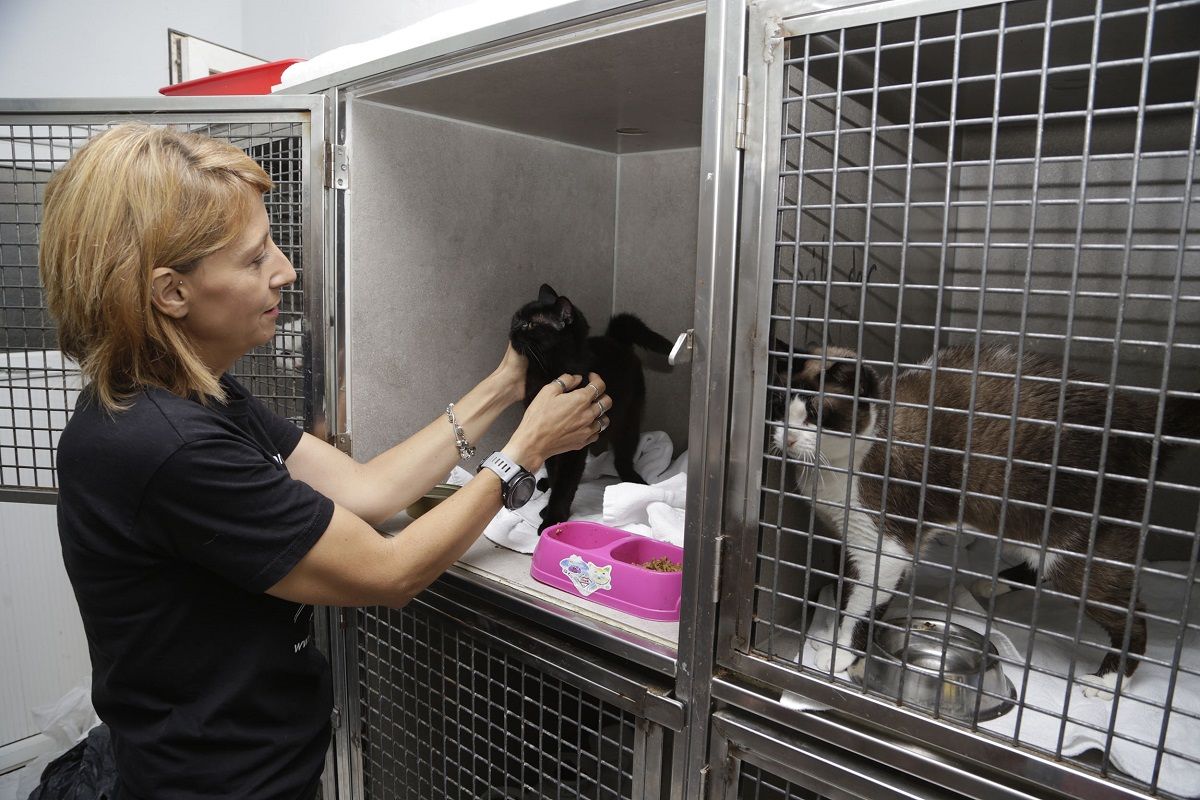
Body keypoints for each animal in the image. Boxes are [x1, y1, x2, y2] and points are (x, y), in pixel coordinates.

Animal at [508, 283, 676, 532]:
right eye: (517, 317)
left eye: (530, 324)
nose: (512, 327)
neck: (547, 371)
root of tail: (615, 339)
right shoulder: (547, 434)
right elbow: (554, 468)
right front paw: (549, 498)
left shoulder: (575, 447)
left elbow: (565, 483)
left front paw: (553, 517)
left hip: (628, 419)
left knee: (623, 455)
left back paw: (633, 479)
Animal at [772, 343, 1195, 695]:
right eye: (778, 405)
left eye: (815, 413)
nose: (786, 438)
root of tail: (1138, 416)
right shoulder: (850, 540)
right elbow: (849, 590)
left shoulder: (885, 545)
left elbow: (861, 605)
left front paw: (840, 652)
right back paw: (993, 585)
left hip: (1078, 547)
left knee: (1131, 615)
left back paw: (1107, 682)